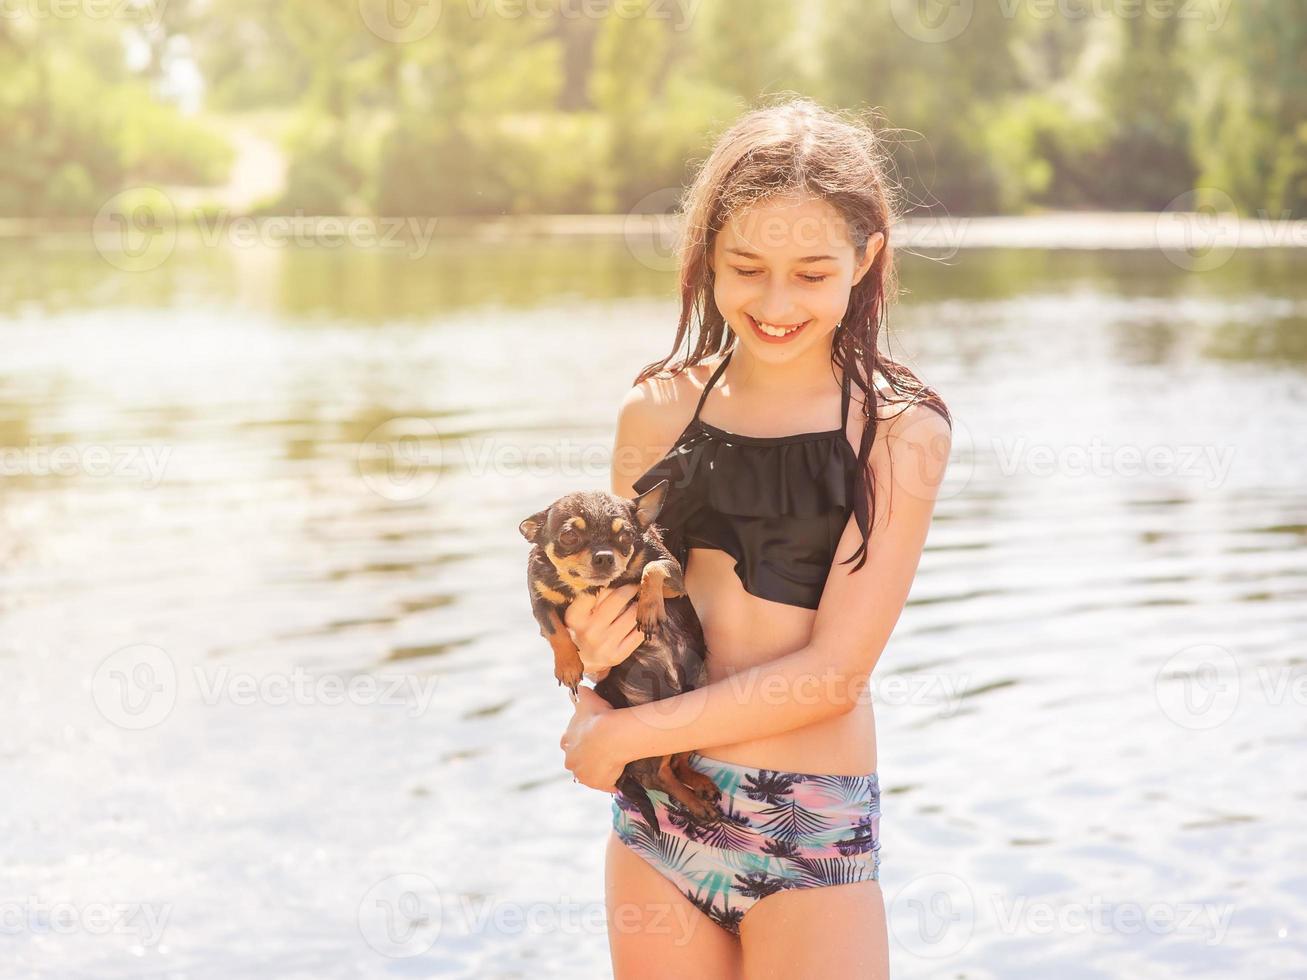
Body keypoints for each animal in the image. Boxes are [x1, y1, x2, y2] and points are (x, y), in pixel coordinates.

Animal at [517, 480, 726, 831]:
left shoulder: (673, 575)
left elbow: (650, 569)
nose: (603, 557)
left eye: (625, 536)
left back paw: (697, 788)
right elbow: (555, 631)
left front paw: (648, 607)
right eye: (569, 536)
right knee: (660, 775)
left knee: (671, 766)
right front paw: (569, 665)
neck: (595, 588)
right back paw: (695, 801)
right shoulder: (540, 600)